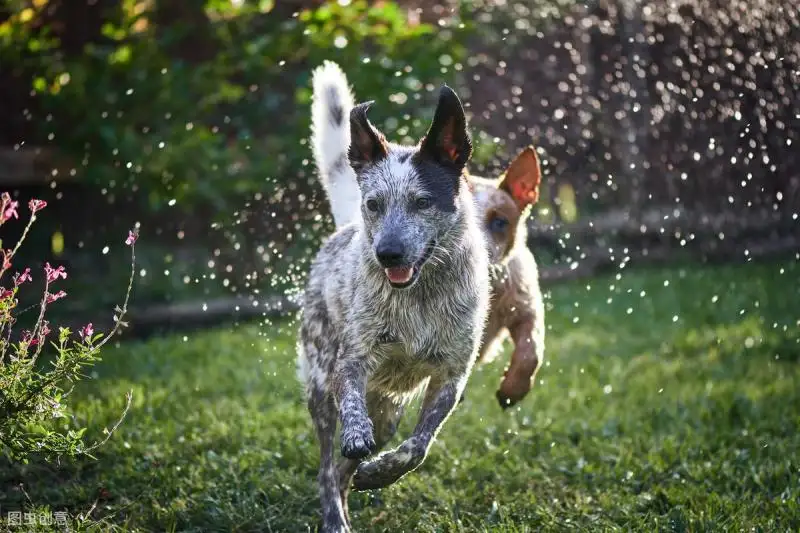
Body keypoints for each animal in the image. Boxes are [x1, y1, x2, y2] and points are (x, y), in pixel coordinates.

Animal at [298, 60, 490, 528]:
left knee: (345, 469)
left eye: (422, 202)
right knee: (327, 466)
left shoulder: (451, 376)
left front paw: (379, 471)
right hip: (320, 387)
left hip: (388, 408)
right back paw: (335, 517)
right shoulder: (350, 362)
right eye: (374, 203)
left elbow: (416, 448)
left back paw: (358, 480)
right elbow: (352, 407)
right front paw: (357, 439)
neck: (420, 296)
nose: (387, 253)